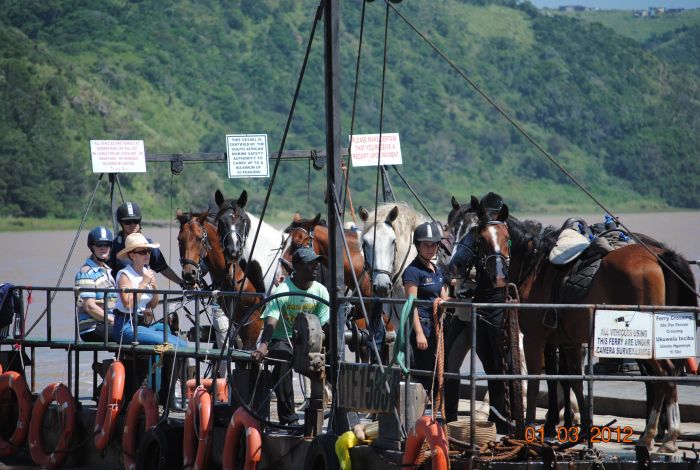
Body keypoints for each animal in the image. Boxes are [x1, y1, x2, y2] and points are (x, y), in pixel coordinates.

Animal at [464, 200, 696, 454]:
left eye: (506, 238)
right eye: (481, 237)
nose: (497, 274)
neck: (536, 268)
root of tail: (658, 256)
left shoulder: (535, 339)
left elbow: (535, 381)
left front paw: (530, 429)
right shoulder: (569, 341)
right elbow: (575, 380)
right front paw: (584, 429)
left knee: (664, 373)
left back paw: (660, 435)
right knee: (666, 374)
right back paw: (660, 436)